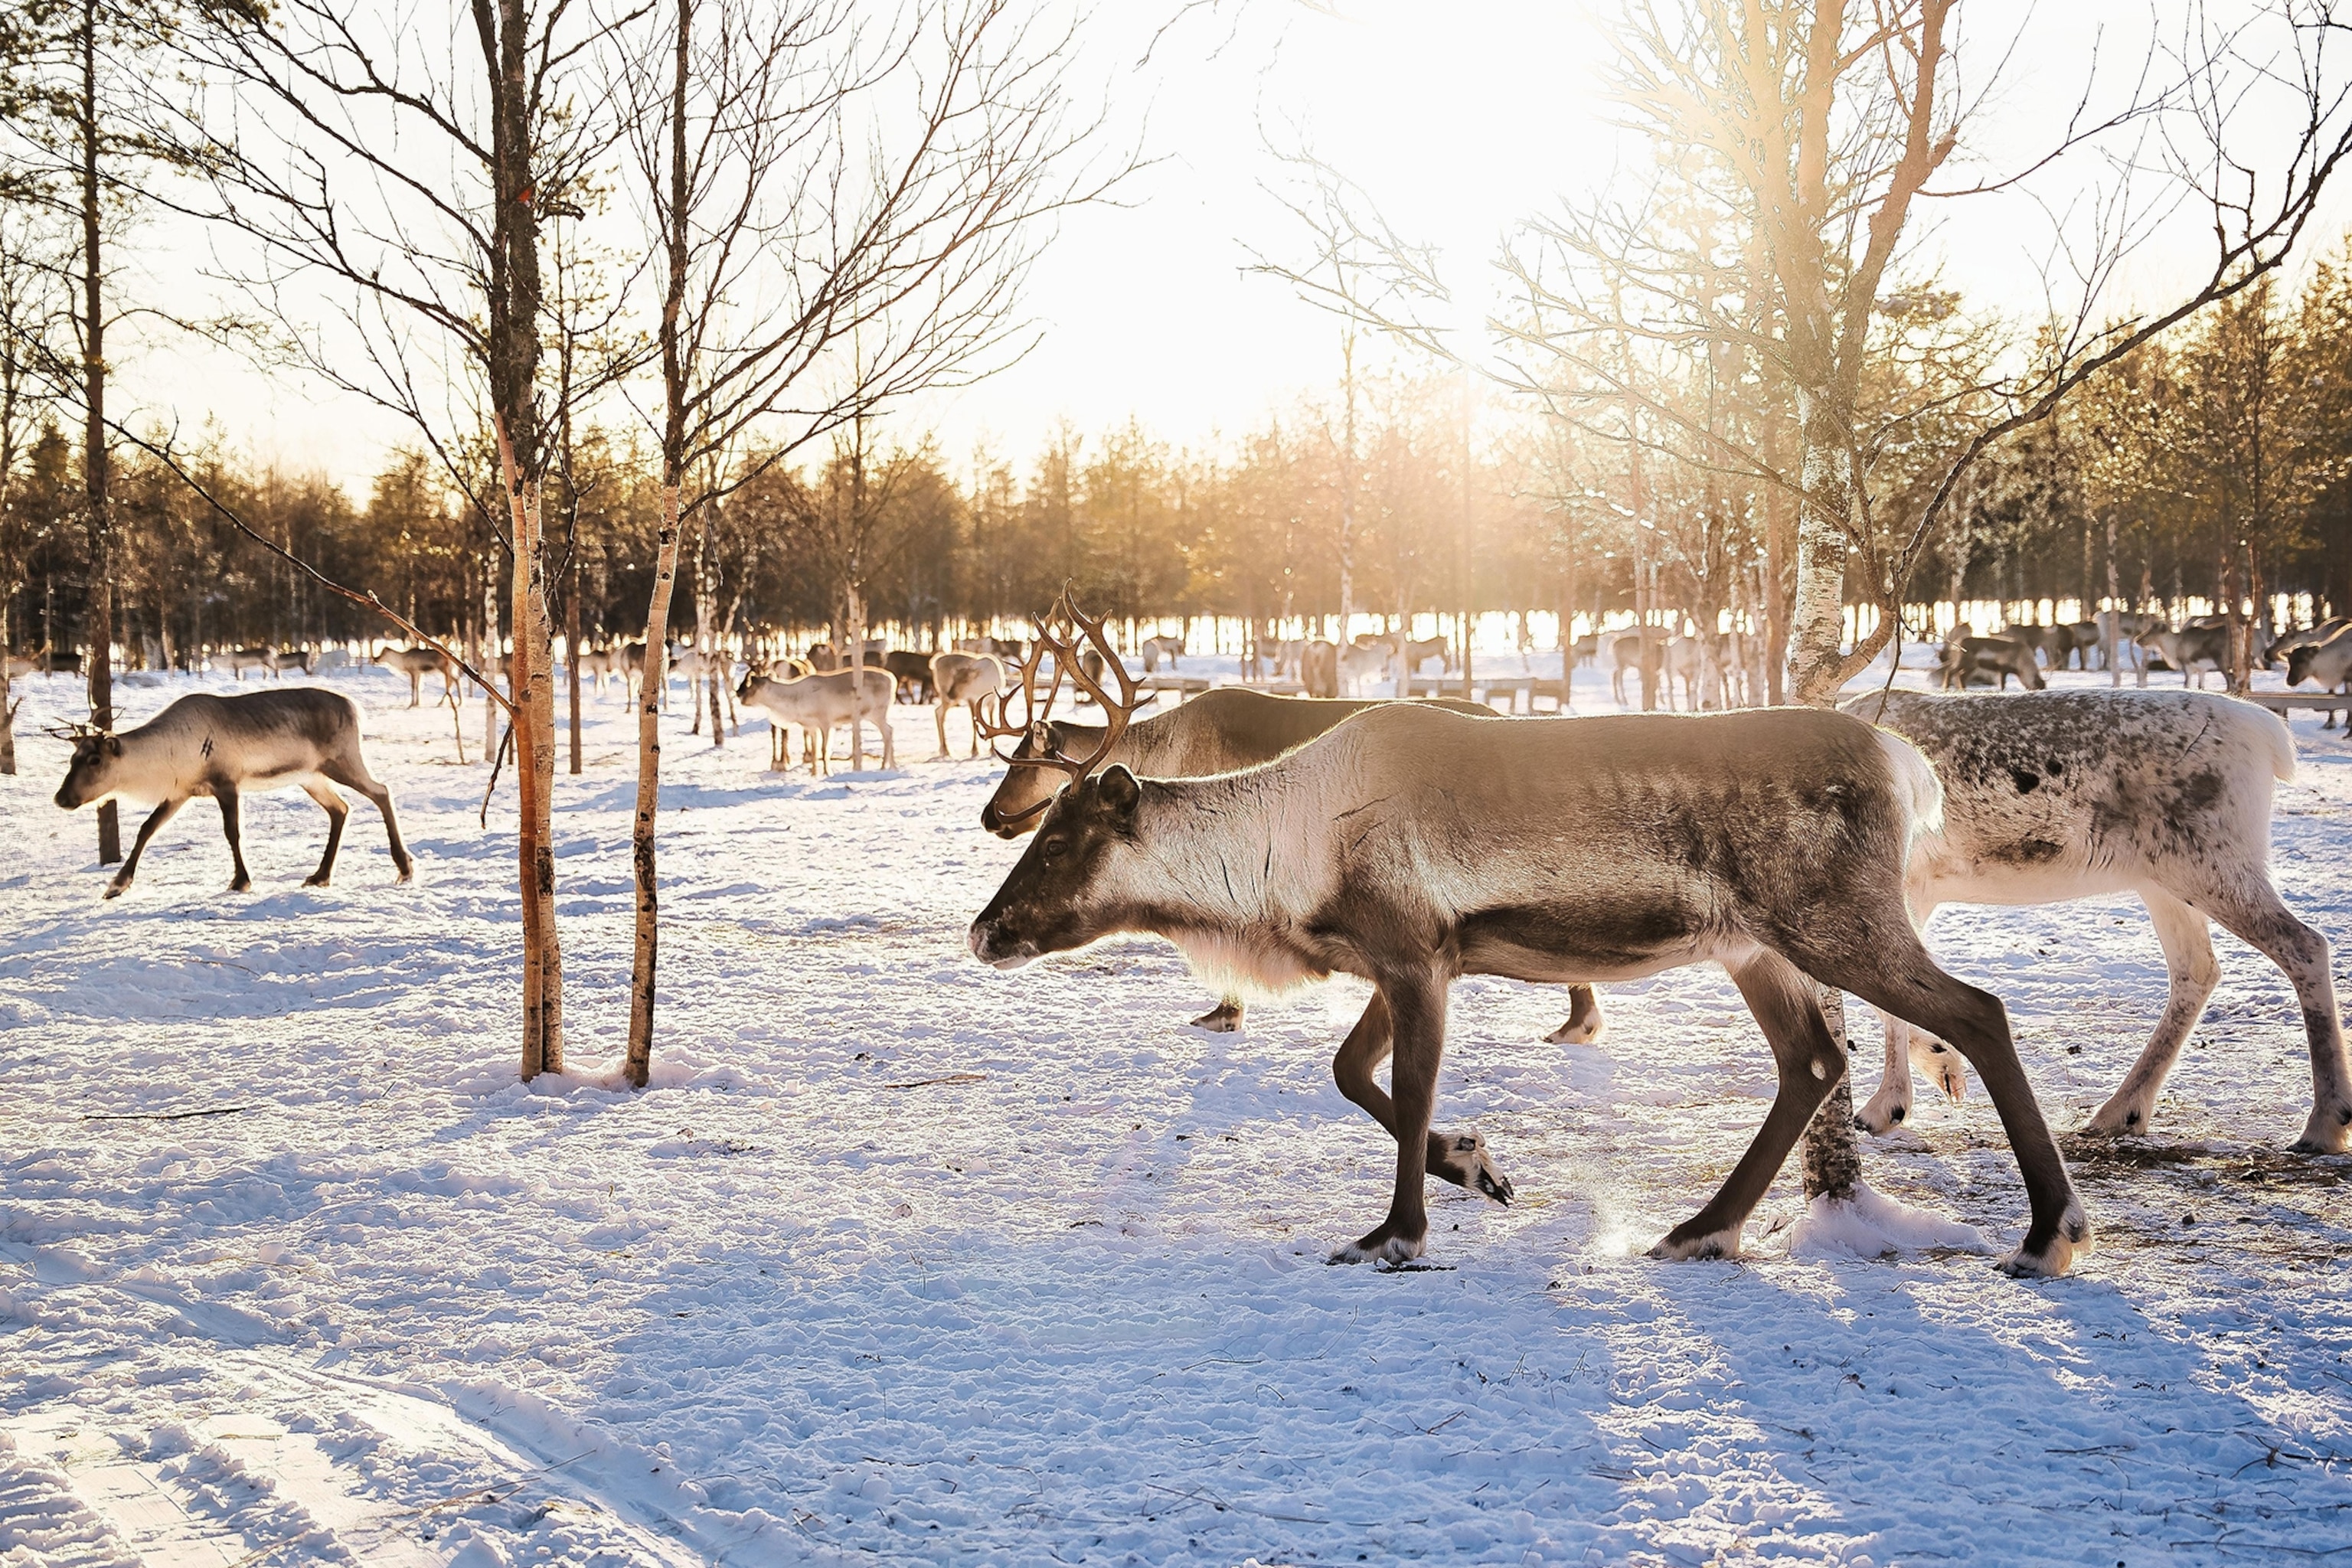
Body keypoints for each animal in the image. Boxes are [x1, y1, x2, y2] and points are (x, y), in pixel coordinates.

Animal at [50, 688, 412, 898]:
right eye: (72, 759)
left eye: (95, 759)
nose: (61, 799)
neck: (168, 754)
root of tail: (354, 707)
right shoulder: (180, 793)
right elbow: (146, 830)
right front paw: (117, 884)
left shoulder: (226, 784)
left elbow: (232, 833)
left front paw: (241, 881)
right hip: (311, 776)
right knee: (340, 808)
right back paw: (320, 875)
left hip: (342, 760)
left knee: (381, 792)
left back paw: (404, 866)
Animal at [968, 596, 2088, 1275]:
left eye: (1062, 840)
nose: (983, 932)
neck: (1289, 849)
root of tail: (1908, 764)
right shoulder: (1410, 958)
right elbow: (1349, 1073)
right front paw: (1477, 1166)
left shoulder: (1415, 954)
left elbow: (1403, 1084)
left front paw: (1399, 1232)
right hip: (1756, 945)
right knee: (1811, 1060)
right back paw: (1701, 1227)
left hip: (1835, 923)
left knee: (1977, 1012)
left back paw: (2049, 1233)